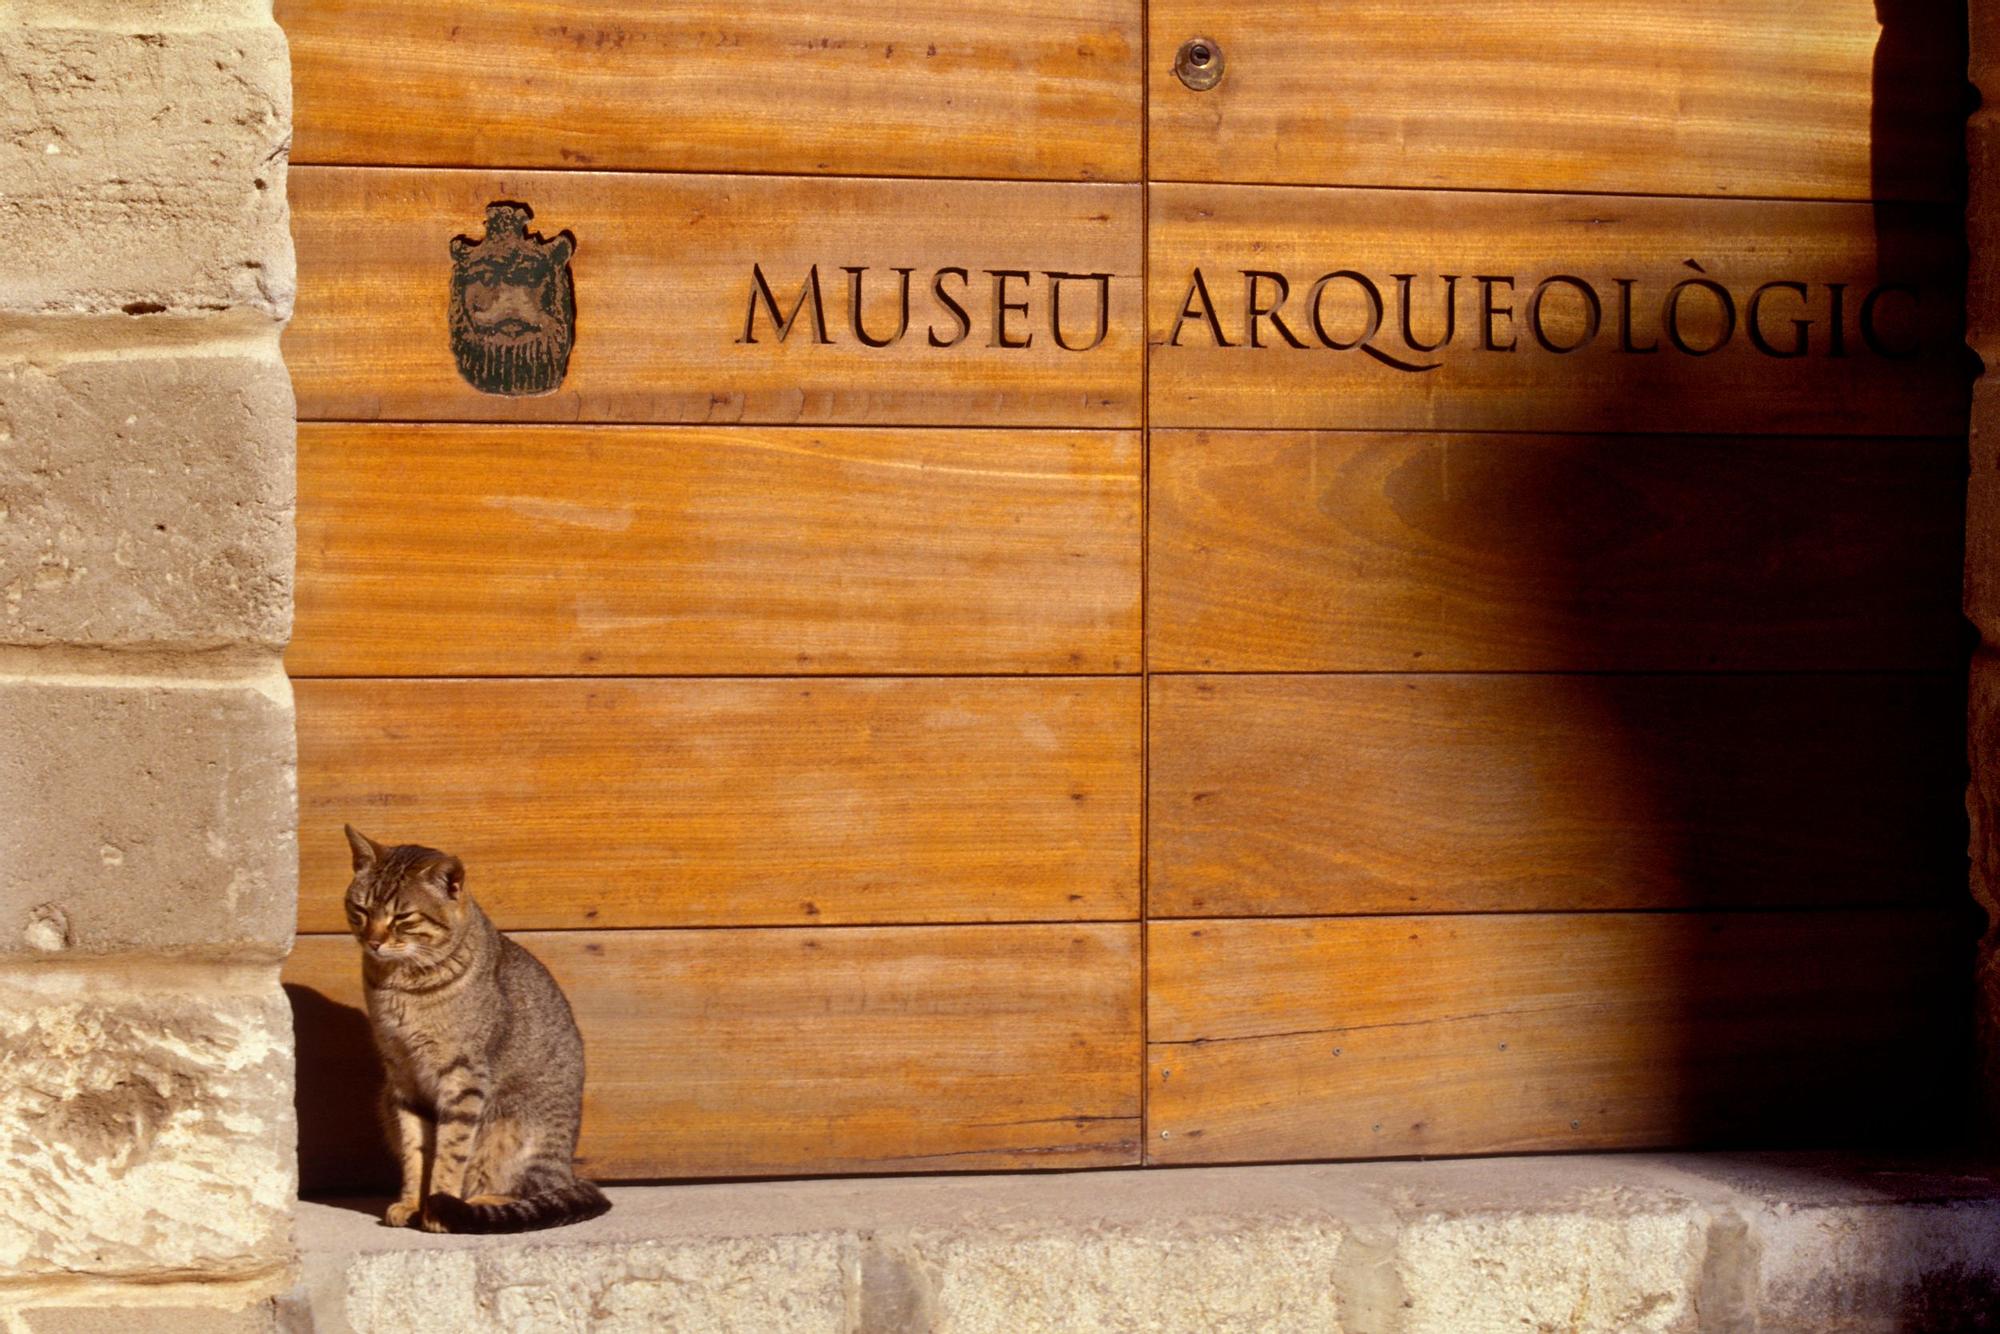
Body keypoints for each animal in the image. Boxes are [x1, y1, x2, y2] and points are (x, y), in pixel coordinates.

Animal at [344, 828, 608, 1240]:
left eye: (402, 917)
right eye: (361, 909)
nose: (372, 941)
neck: (399, 986)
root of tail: (568, 1168)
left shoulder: (463, 1077)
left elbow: (449, 1153)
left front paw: (436, 1208)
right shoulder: (402, 1079)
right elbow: (416, 1151)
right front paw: (411, 1203)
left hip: (514, 1123)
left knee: (533, 1188)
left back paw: (476, 1203)